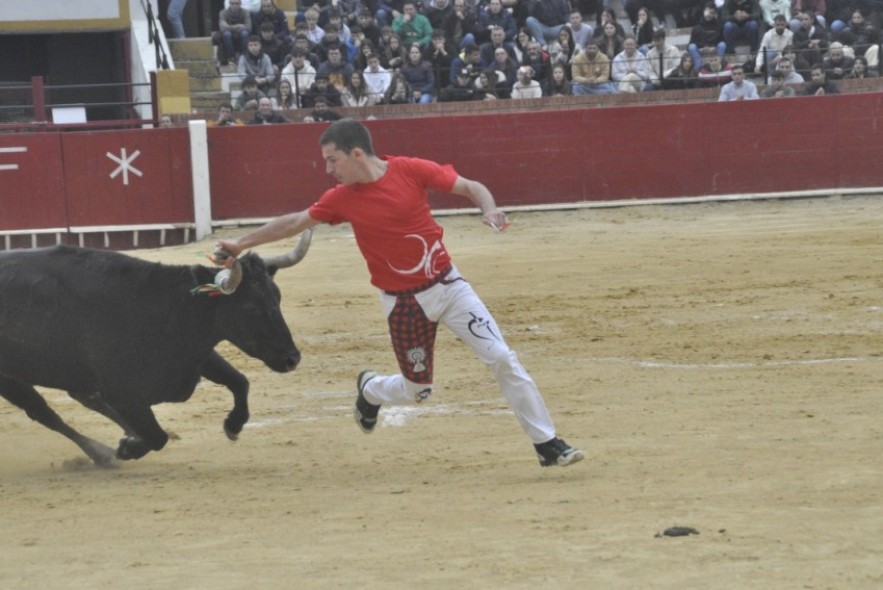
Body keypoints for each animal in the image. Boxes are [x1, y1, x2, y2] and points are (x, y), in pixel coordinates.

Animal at [0, 231, 312, 468]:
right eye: (250, 307)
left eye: (277, 297)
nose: (291, 358)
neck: (159, 304)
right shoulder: (121, 391)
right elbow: (155, 436)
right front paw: (127, 448)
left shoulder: (197, 356)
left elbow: (239, 381)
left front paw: (233, 426)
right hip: (11, 379)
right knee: (46, 413)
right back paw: (103, 454)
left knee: (78, 402)